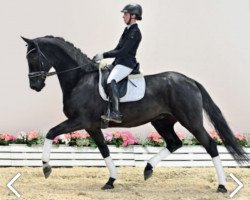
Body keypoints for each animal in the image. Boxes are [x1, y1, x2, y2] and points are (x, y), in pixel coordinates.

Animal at [21, 36, 248, 192]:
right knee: (174, 143)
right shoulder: (92, 126)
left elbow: (51, 132)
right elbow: (104, 150)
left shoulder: (80, 120)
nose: (34, 85)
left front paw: (46, 167)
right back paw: (148, 169)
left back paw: (221, 186)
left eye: (33, 56)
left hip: (191, 121)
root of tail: (190, 81)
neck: (79, 79)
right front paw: (111, 181)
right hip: (162, 121)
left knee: (210, 145)